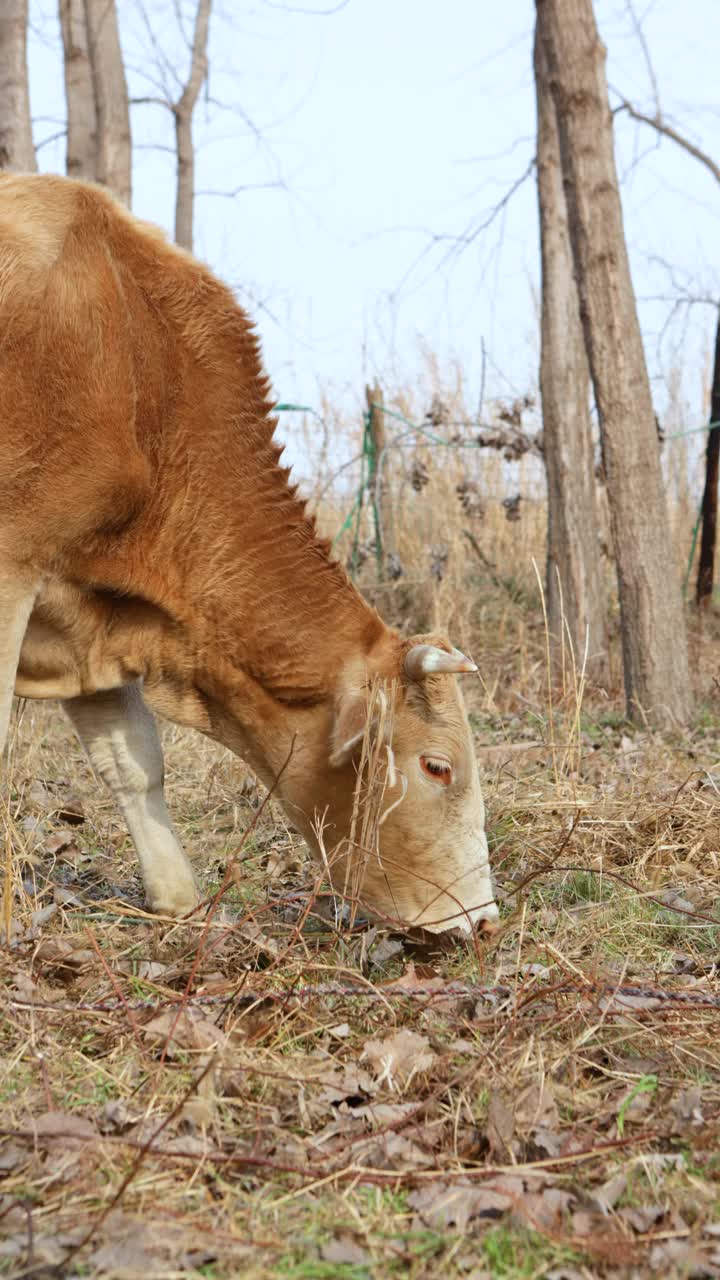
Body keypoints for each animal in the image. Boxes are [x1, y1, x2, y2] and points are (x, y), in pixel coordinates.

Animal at [0, 172, 497, 931]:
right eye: (436, 766)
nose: (480, 920)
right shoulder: (13, 565)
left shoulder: (86, 613)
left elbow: (134, 759)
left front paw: (178, 903)